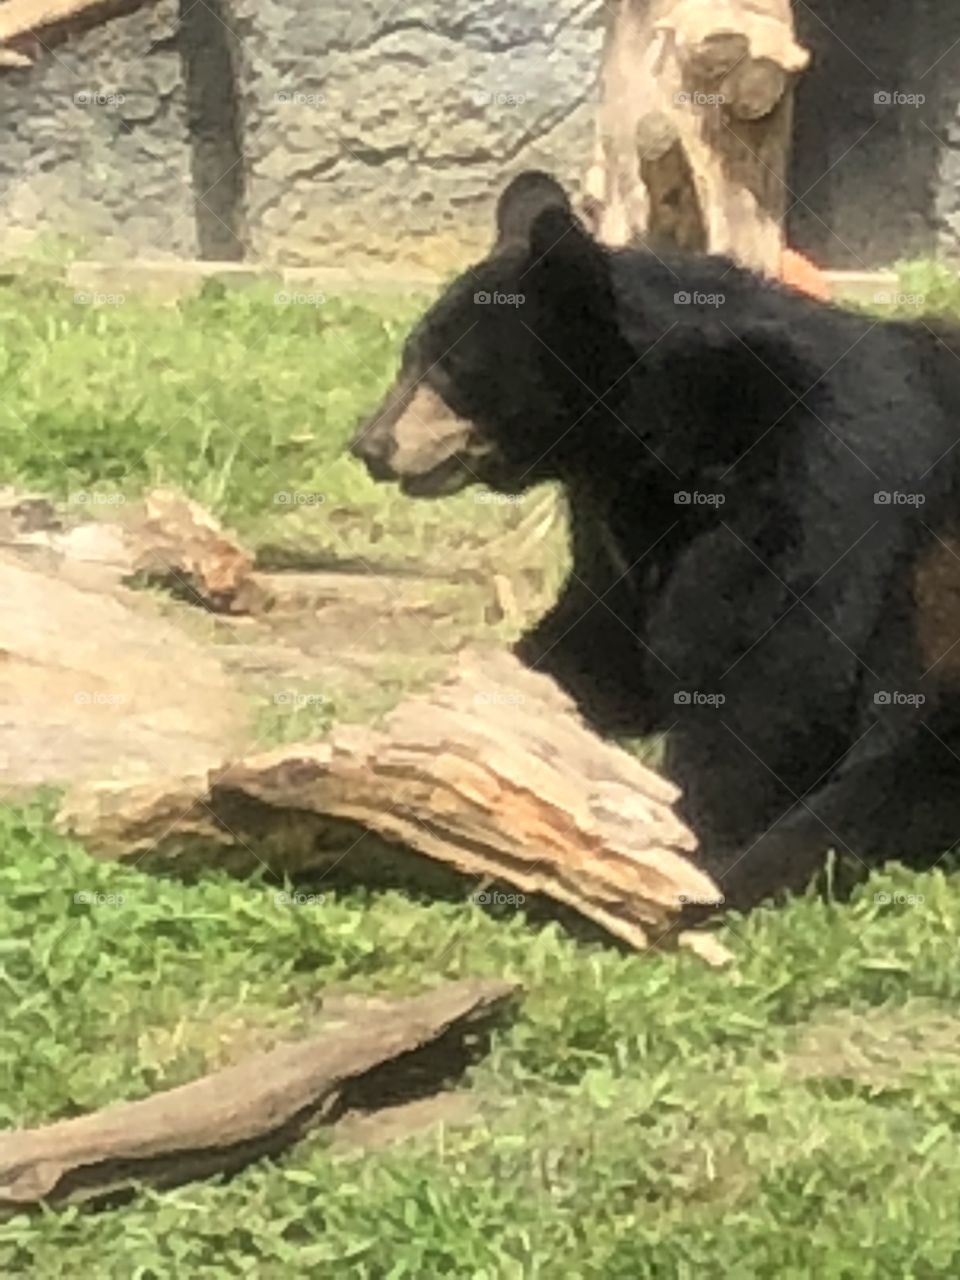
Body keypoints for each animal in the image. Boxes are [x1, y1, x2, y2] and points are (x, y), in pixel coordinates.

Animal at [349, 169, 960, 910]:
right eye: (410, 355)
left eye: (448, 368)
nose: (371, 444)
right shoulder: (613, 515)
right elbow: (598, 634)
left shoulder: (818, 478)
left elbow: (765, 665)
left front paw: (694, 831)